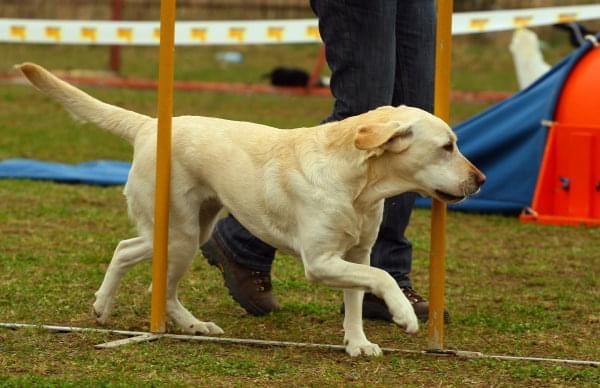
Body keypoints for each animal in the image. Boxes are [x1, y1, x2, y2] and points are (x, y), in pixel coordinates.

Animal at [18, 62, 486, 356]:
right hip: (178, 235)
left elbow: (357, 298)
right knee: (142, 270)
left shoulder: (356, 254)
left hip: (191, 232)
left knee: (137, 262)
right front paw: (405, 316)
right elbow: (384, 278)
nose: (481, 180)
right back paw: (118, 310)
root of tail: (149, 125)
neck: (358, 186)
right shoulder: (321, 261)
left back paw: (174, 322)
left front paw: (358, 343)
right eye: (447, 146)